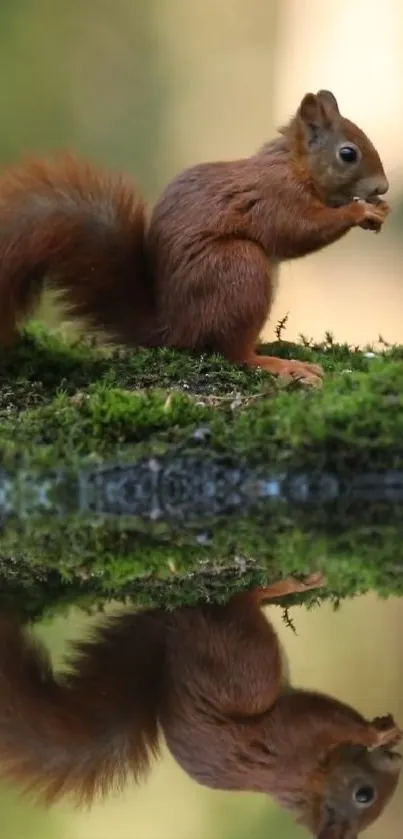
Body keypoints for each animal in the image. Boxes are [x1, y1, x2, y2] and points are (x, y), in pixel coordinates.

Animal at [0, 88, 392, 384]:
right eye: (348, 154)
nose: (383, 188)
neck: (295, 166)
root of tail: (173, 330)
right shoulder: (275, 197)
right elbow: (298, 231)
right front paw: (359, 212)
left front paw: (380, 210)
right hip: (240, 268)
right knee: (232, 352)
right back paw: (277, 364)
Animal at [0, 568, 400, 836]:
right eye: (364, 796)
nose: (395, 760)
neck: (310, 783)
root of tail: (173, 644)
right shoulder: (298, 739)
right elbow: (327, 717)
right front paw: (376, 733)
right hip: (246, 664)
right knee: (242, 607)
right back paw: (287, 585)